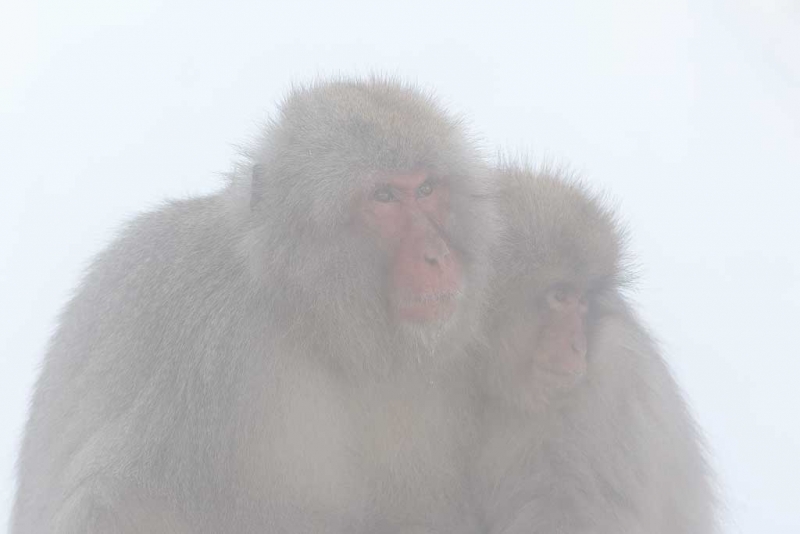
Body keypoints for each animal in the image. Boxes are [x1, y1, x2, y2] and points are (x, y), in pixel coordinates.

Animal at [10, 79, 500, 534]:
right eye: (384, 197)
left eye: (427, 188)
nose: (437, 254)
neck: (313, 323)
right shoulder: (219, 356)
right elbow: (120, 499)